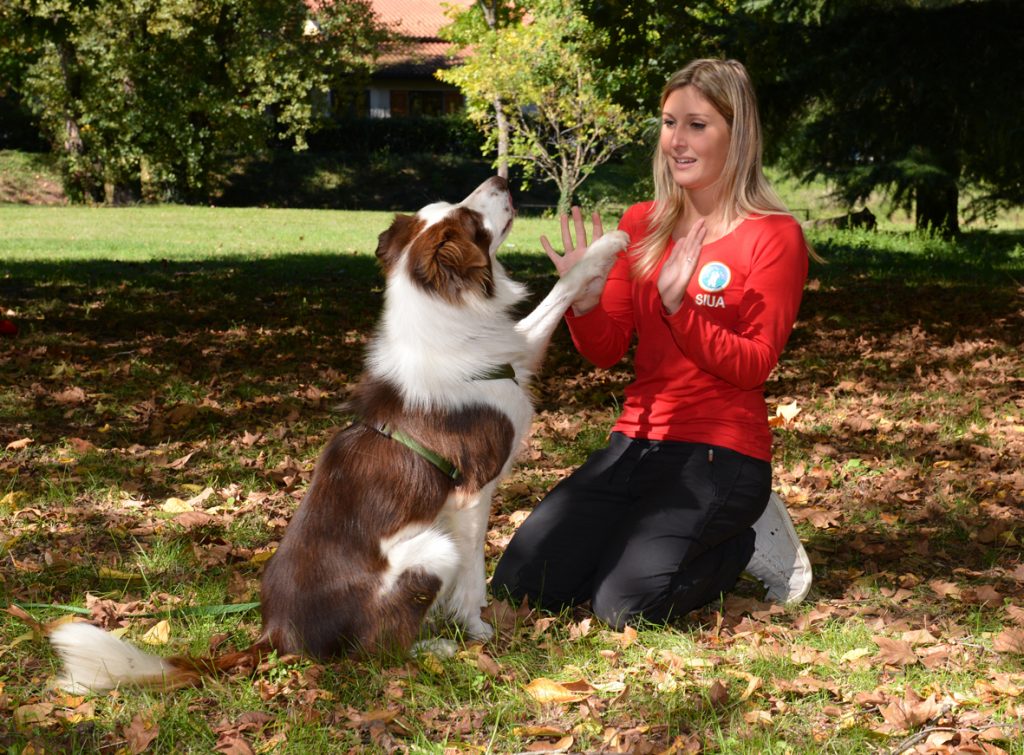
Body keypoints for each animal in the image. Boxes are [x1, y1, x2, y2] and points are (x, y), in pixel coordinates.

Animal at [48, 175, 626, 688]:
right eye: (469, 218)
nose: (504, 180)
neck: (438, 318)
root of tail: (275, 635)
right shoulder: (471, 493)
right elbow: (474, 576)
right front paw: (477, 628)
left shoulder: (514, 354)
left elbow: (554, 299)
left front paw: (603, 249)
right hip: (433, 550)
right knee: (378, 650)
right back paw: (433, 647)